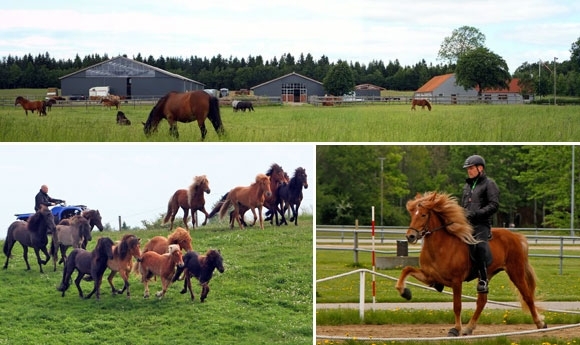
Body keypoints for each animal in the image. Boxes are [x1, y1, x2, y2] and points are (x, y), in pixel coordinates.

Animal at [396, 191, 548, 336]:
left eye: (423, 215)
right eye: (412, 215)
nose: (410, 236)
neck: (441, 247)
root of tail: (515, 236)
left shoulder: (456, 281)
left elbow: (457, 306)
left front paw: (455, 329)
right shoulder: (430, 277)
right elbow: (406, 269)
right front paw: (405, 292)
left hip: (515, 271)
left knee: (527, 296)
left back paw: (540, 324)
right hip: (486, 275)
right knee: (482, 301)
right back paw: (469, 328)